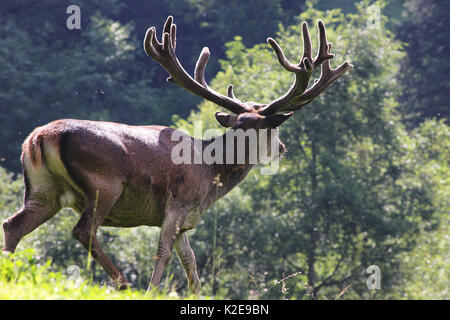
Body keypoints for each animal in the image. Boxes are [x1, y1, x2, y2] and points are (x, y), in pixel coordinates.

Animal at [1, 16, 352, 294]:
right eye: (271, 129)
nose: (281, 148)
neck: (211, 175)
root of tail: (41, 137)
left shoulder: (187, 219)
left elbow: (191, 264)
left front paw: (196, 293)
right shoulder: (177, 204)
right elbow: (163, 254)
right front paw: (151, 290)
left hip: (43, 190)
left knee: (13, 225)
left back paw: (11, 274)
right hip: (104, 184)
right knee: (83, 231)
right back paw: (123, 282)